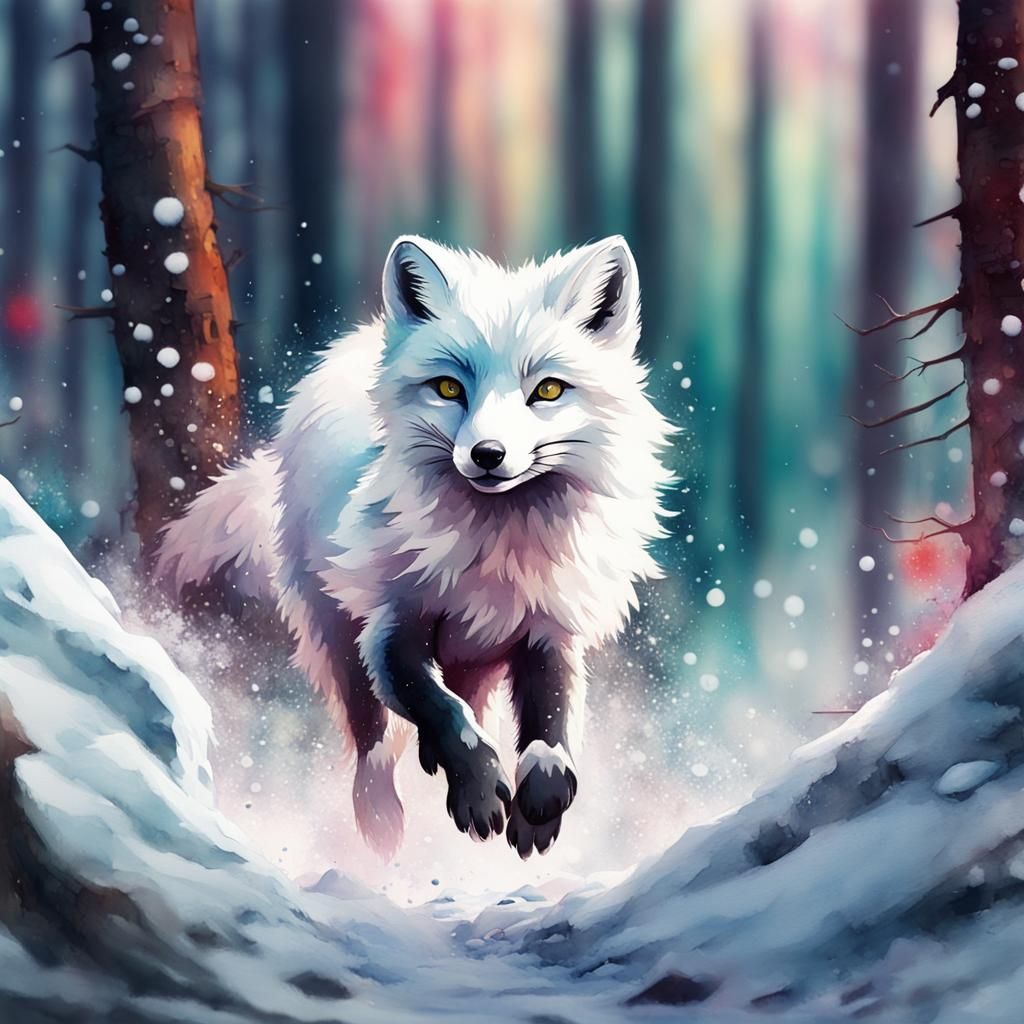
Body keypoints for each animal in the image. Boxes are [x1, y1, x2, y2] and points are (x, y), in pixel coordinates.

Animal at [157, 234, 673, 859]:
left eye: (547, 390)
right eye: (449, 388)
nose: (488, 455)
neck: (494, 555)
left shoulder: (551, 631)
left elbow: (550, 732)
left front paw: (540, 806)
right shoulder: (390, 628)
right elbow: (444, 714)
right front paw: (478, 796)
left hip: (475, 656)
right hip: (336, 634)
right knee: (374, 740)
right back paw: (380, 821)